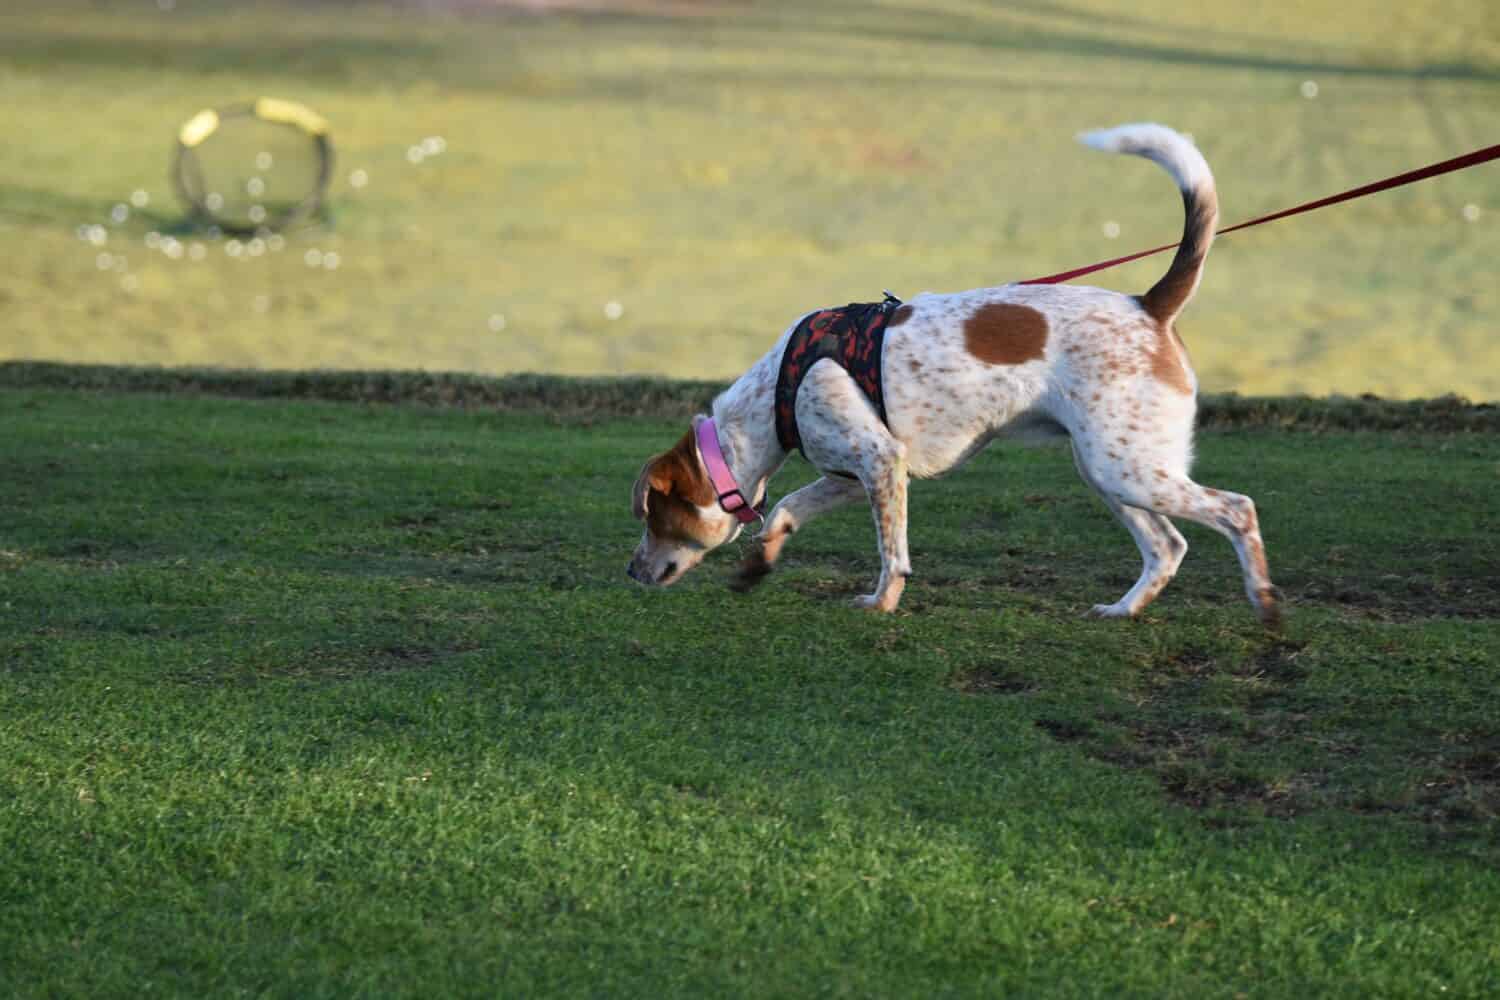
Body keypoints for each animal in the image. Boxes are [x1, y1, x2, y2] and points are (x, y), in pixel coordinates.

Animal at [621, 125, 1278, 626]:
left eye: (653, 520)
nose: (630, 570)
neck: (778, 393)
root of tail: (1149, 306)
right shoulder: (852, 474)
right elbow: (785, 508)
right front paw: (759, 565)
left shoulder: (881, 462)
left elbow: (892, 553)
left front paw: (881, 603)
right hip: (1109, 470)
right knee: (1168, 546)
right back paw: (1124, 610)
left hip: (1127, 468)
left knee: (1237, 509)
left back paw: (1265, 602)